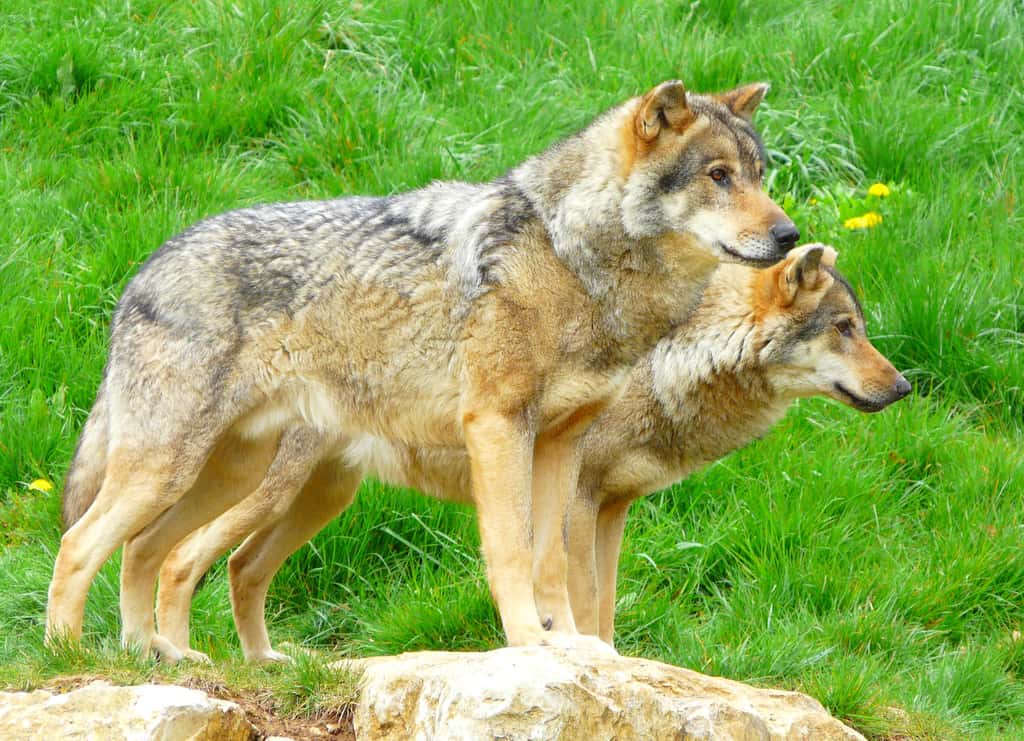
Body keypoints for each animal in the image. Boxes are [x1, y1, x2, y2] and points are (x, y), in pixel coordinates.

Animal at [48, 79, 799, 660]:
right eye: (718, 176)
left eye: (761, 175)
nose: (790, 235)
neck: (570, 259)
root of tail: (144, 268)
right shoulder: (496, 426)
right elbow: (512, 549)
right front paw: (527, 642)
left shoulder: (562, 446)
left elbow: (552, 560)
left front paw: (569, 643)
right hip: (174, 469)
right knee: (82, 544)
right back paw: (71, 656)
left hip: (233, 477)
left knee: (146, 550)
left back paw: (153, 656)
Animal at [156, 244, 909, 661]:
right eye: (844, 329)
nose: (903, 386)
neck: (670, 361)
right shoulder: (579, 498)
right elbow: (579, 593)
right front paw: (580, 650)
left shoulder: (612, 510)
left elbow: (606, 604)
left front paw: (607, 659)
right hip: (272, 494)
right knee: (179, 558)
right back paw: (179, 655)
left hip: (321, 501)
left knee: (241, 567)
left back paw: (263, 662)